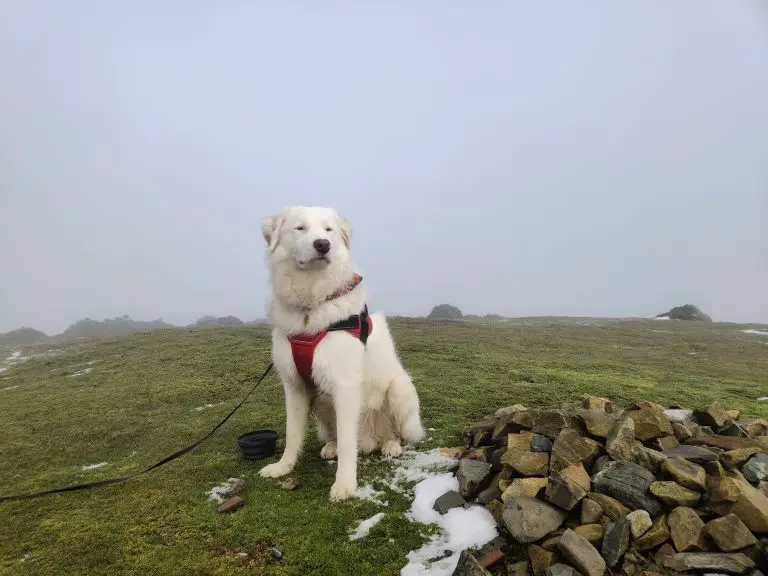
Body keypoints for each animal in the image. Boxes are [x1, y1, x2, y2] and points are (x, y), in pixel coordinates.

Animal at [258, 207, 426, 500]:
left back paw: (391, 445)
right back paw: (331, 447)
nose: (322, 245)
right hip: (323, 401)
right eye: (300, 228)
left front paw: (345, 484)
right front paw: (283, 467)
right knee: (337, 435)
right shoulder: (295, 387)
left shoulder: (346, 387)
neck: (310, 307)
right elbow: (292, 435)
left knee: (394, 432)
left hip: (399, 388)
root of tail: (370, 440)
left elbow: (349, 443)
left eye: (329, 230)